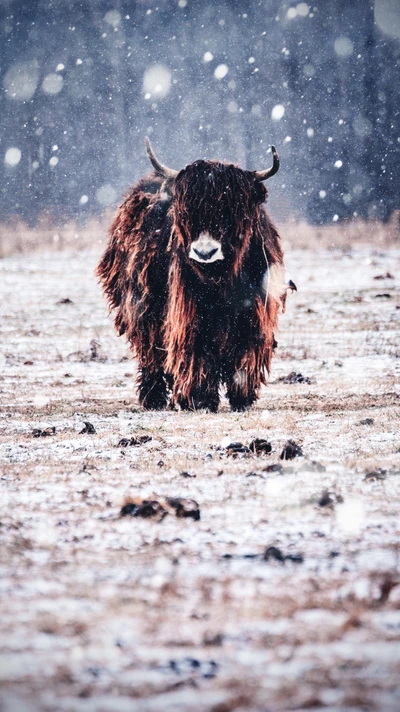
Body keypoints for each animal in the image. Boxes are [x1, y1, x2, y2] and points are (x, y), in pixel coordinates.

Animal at [95, 138, 292, 412]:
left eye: (230, 211)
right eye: (187, 213)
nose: (204, 252)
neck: (221, 281)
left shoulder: (254, 311)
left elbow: (244, 351)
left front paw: (241, 398)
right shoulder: (188, 313)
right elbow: (196, 351)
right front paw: (200, 399)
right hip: (140, 308)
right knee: (151, 353)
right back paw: (153, 398)